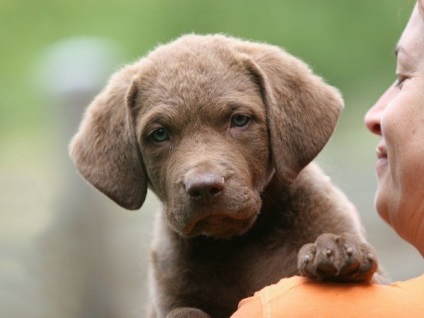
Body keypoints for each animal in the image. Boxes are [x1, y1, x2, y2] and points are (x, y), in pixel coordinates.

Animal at [71, 34, 380, 318]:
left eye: (240, 119)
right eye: (159, 134)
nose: (203, 187)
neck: (238, 244)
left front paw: (335, 250)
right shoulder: (166, 299)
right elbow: (184, 311)